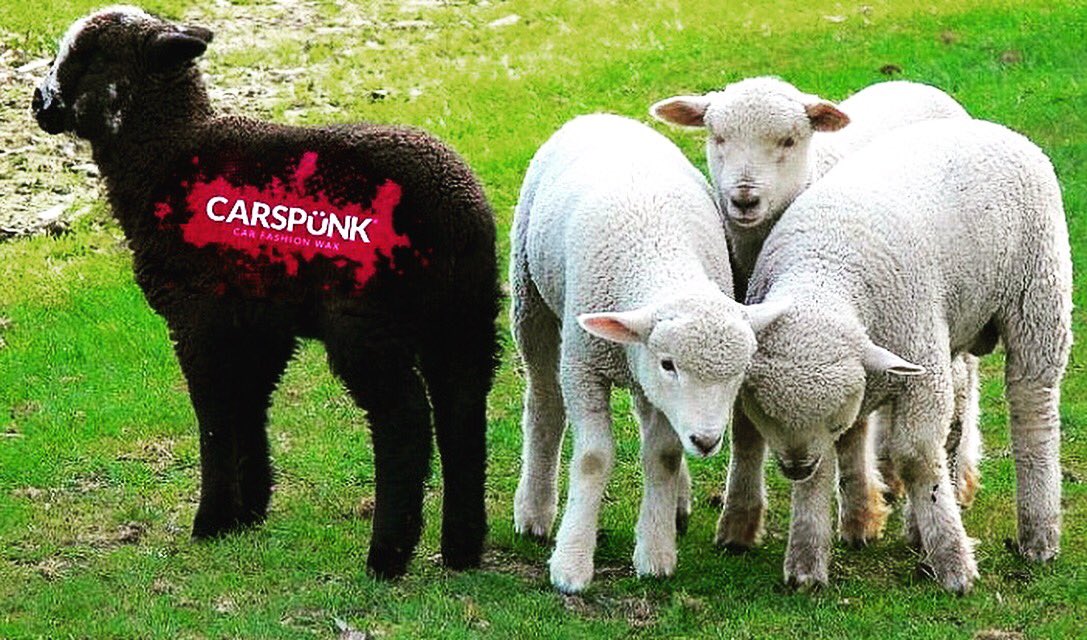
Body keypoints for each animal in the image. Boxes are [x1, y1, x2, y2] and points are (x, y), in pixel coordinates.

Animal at [32, 6, 500, 579]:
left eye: (89, 55)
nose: (37, 102)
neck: (167, 155)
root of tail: (456, 212)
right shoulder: (260, 325)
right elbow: (249, 405)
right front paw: (250, 510)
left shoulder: (198, 316)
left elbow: (213, 414)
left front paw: (211, 521)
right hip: (465, 317)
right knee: (464, 410)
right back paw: (461, 548)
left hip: (368, 322)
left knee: (404, 420)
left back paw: (386, 556)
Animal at [510, 113, 788, 593]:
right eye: (669, 363)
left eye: (739, 373)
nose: (707, 441)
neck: (660, 256)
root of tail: (601, 115)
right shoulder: (584, 367)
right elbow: (593, 458)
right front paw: (571, 563)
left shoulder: (653, 381)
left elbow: (662, 455)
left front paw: (655, 553)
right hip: (531, 297)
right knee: (544, 402)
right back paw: (534, 510)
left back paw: (676, 503)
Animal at [650, 77, 981, 549]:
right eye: (717, 137)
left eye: (790, 140)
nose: (744, 198)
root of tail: (915, 84)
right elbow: (746, 425)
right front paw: (739, 521)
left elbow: (848, 428)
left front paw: (860, 515)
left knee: (965, 380)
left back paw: (958, 475)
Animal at [738, 117, 1071, 593]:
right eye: (764, 413)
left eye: (835, 419)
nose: (796, 466)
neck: (825, 270)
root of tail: (993, 127)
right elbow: (823, 473)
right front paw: (805, 564)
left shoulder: (919, 371)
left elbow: (915, 458)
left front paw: (954, 564)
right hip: (950, 326)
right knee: (958, 408)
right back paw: (921, 528)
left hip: (1037, 291)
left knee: (1033, 403)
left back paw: (1038, 536)